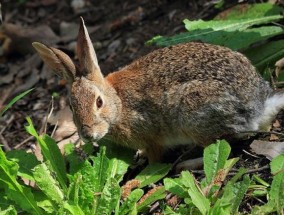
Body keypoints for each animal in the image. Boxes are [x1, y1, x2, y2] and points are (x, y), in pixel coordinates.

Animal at [32, 18, 284, 163]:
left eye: (98, 102)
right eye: (72, 107)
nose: (87, 134)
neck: (119, 103)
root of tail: (259, 104)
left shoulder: (149, 136)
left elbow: (154, 156)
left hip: (195, 113)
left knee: (223, 145)